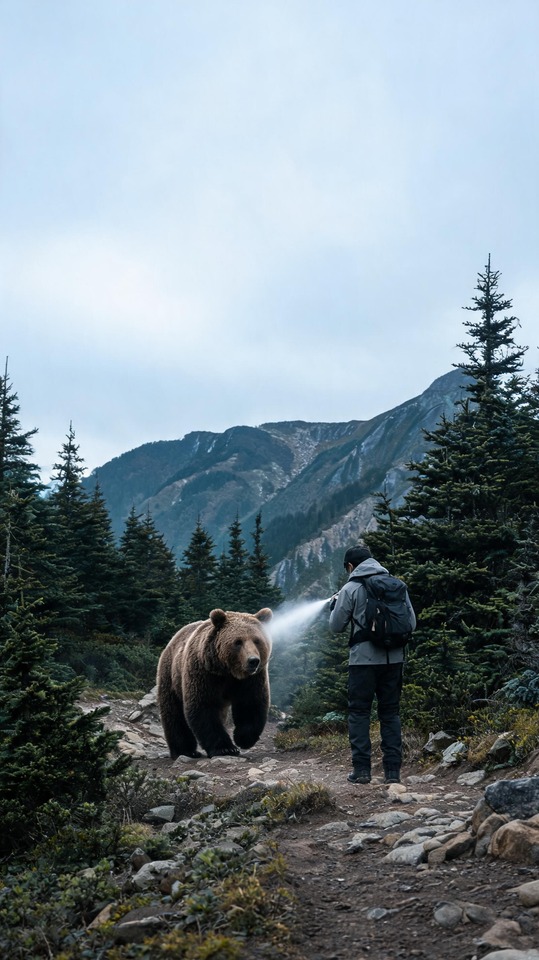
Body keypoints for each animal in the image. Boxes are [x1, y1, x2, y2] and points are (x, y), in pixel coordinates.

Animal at [156, 607, 273, 760]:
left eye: (257, 640)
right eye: (238, 642)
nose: (253, 661)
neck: (228, 672)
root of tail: (173, 639)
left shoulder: (251, 679)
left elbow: (251, 703)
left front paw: (243, 738)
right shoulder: (203, 674)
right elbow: (203, 707)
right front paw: (226, 748)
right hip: (171, 675)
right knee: (174, 714)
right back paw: (185, 751)